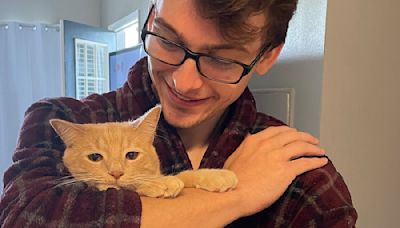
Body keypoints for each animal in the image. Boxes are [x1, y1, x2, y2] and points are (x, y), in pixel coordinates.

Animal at [50, 106, 238, 197]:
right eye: (95, 157)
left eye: (131, 155)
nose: (116, 173)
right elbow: (120, 187)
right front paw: (157, 183)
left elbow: (184, 175)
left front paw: (213, 175)